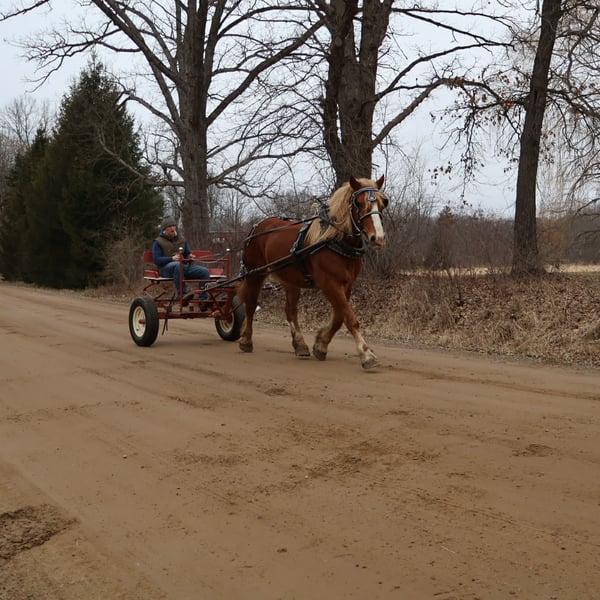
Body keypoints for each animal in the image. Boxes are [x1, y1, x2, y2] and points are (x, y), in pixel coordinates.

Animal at [236, 175, 388, 369]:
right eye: (359, 203)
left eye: (383, 203)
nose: (378, 238)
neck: (334, 240)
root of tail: (257, 226)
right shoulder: (329, 284)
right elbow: (349, 317)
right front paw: (366, 354)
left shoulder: (346, 285)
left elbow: (340, 317)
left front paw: (321, 344)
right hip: (255, 274)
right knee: (250, 305)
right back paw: (246, 340)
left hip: (290, 280)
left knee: (290, 311)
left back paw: (300, 345)